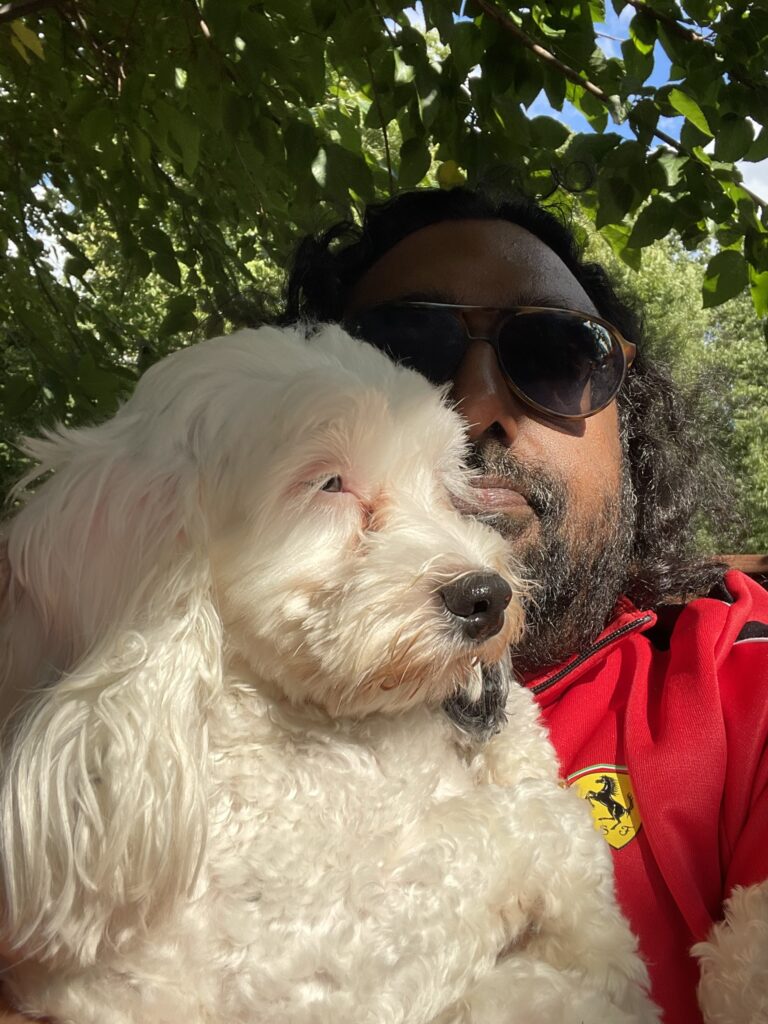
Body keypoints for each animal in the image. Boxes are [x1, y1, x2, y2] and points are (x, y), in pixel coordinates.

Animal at [0, 325, 660, 1023]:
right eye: (329, 483)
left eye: (442, 485)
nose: (487, 596)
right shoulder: (318, 961)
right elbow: (542, 828)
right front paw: (601, 958)